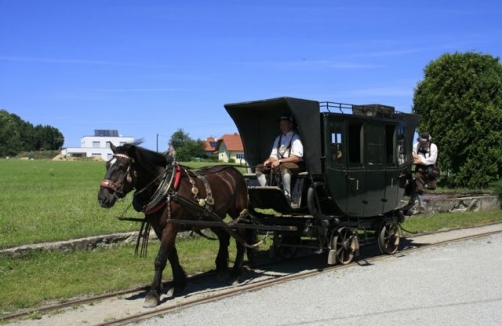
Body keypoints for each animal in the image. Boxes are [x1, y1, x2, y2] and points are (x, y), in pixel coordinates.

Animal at [98, 143, 253, 308]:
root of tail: (235, 172)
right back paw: (222, 269)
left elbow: (160, 259)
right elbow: (172, 256)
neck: (167, 188)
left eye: (121, 167)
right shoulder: (160, 229)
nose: (102, 198)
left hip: (238, 213)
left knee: (241, 240)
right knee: (224, 238)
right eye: (107, 165)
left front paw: (153, 294)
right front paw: (179, 284)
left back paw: (235, 274)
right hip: (213, 217)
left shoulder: (171, 227)